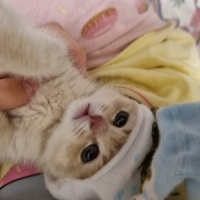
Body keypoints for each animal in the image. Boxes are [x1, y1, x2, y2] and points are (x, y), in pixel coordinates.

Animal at [0, 0, 138, 184]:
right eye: (121, 119)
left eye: (90, 153)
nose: (95, 121)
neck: (59, 111)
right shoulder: (59, 54)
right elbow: (35, 57)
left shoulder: (12, 138)